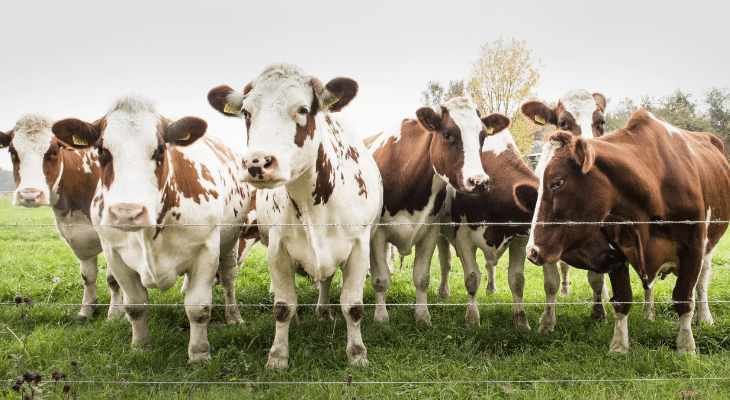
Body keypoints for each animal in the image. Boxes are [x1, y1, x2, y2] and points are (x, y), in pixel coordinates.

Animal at [0, 113, 122, 322]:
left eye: (54, 151)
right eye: (12, 152)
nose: (30, 195)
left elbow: (113, 278)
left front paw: (115, 313)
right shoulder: (77, 235)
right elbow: (87, 276)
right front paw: (86, 310)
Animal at [51, 95, 250, 364]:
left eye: (160, 149)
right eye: (101, 150)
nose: (127, 212)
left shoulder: (207, 248)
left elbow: (198, 308)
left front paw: (199, 353)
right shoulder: (114, 253)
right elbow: (134, 305)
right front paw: (140, 346)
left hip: (230, 242)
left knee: (229, 279)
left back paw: (234, 317)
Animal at [206, 62, 382, 368]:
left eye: (302, 109)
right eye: (246, 113)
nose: (257, 162)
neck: (313, 203)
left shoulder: (359, 246)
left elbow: (353, 306)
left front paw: (357, 353)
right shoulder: (277, 248)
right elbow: (283, 306)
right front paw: (278, 355)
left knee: (326, 281)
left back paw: (324, 312)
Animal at [364, 95, 490, 326]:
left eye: (483, 136)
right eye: (447, 134)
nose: (479, 182)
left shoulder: (430, 231)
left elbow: (422, 277)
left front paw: (422, 315)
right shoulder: (377, 234)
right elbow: (380, 278)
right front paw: (381, 316)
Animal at [520, 109, 724, 354]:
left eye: (557, 182)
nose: (532, 250)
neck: (653, 185)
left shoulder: (692, 248)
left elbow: (684, 298)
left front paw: (686, 346)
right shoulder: (617, 251)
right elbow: (622, 299)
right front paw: (619, 345)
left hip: (708, 247)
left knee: (702, 281)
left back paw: (704, 317)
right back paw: (648, 312)